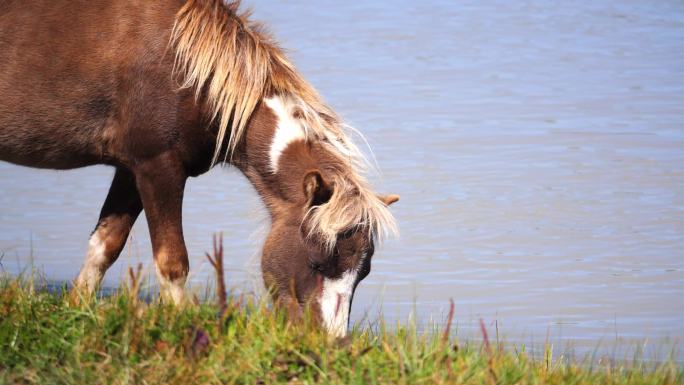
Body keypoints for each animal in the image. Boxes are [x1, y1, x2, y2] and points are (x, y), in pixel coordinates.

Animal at [0, 0, 398, 336]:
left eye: (363, 273)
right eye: (316, 263)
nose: (330, 343)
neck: (189, 75)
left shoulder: (130, 170)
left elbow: (105, 244)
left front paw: (77, 309)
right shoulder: (157, 166)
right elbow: (172, 261)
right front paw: (183, 327)